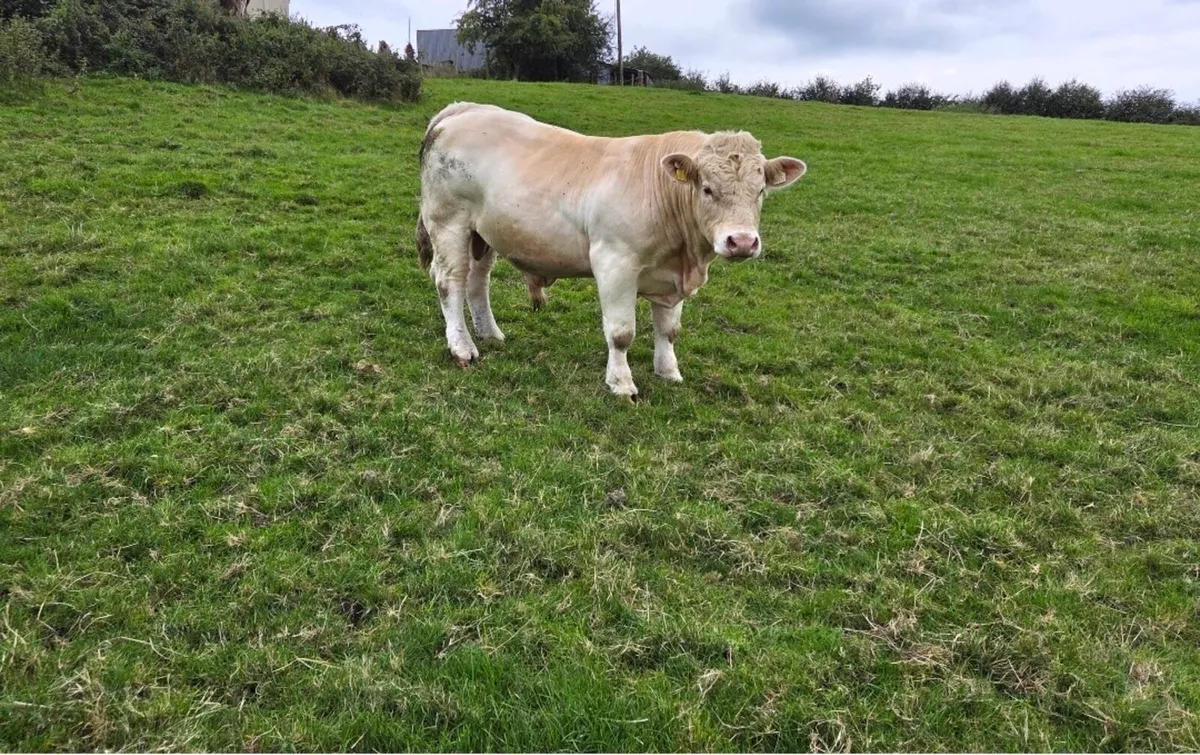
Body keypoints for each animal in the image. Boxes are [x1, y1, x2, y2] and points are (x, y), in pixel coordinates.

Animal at [416, 102, 807, 400]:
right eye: (707, 189)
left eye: (760, 191)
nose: (741, 241)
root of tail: (463, 109)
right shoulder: (615, 263)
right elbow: (621, 333)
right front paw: (621, 383)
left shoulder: (670, 276)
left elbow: (669, 330)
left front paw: (669, 372)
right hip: (449, 222)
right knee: (450, 281)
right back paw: (462, 348)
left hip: (484, 233)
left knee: (477, 281)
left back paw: (489, 333)